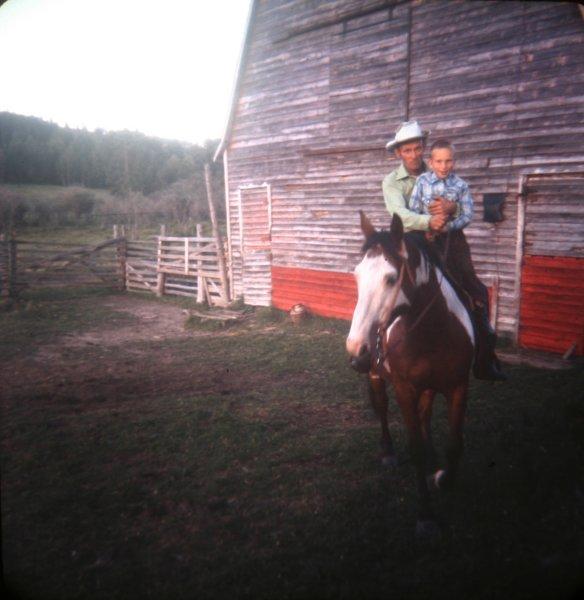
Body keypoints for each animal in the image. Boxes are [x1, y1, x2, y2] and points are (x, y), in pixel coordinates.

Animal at [346, 211, 474, 536]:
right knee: (381, 408)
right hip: (376, 376)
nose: (356, 348)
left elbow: (455, 443)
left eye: (391, 278)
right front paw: (426, 515)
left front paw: (444, 478)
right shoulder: (404, 389)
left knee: (424, 413)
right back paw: (388, 451)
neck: (435, 332)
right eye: (357, 276)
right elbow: (415, 447)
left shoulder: (458, 387)